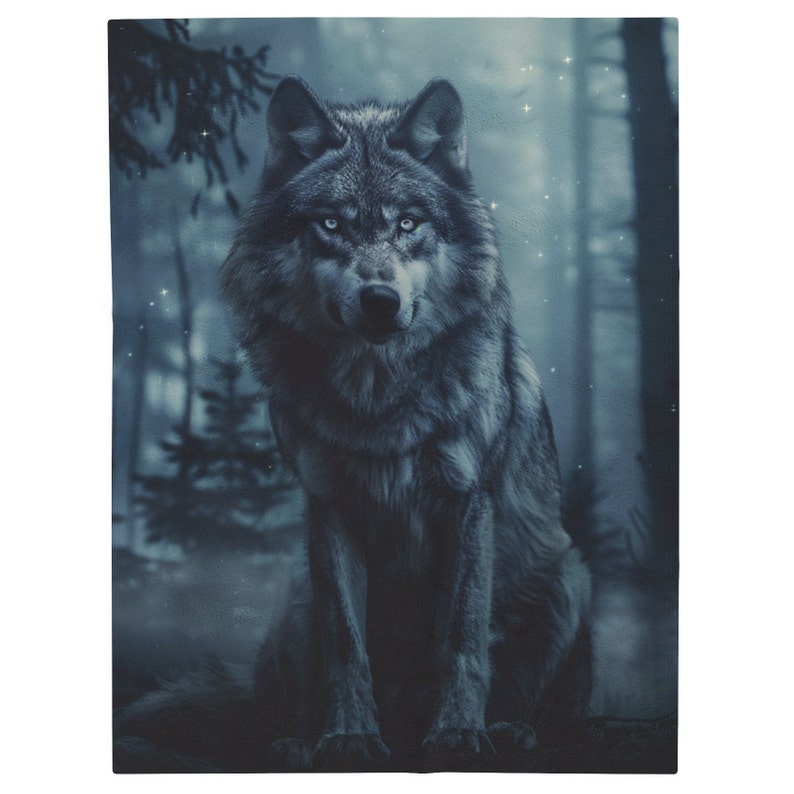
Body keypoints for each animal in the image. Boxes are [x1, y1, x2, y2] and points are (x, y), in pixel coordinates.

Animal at [219, 76, 592, 772]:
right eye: (330, 224)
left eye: (408, 223)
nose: (380, 300)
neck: (378, 405)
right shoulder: (327, 506)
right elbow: (346, 643)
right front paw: (349, 738)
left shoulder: (468, 503)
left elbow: (461, 635)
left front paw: (457, 733)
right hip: (294, 598)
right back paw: (294, 741)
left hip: (568, 577)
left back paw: (511, 729)